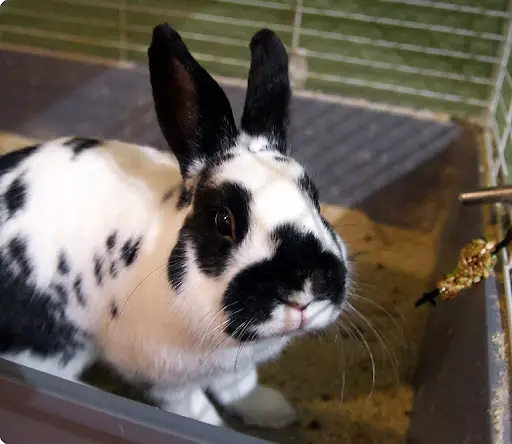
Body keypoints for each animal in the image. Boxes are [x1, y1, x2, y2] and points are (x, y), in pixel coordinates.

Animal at [0, 22, 350, 428]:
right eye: (224, 221)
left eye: (316, 201)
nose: (304, 289)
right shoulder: (166, 380)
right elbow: (196, 411)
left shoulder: (233, 371)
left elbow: (241, 386)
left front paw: (275, 412)